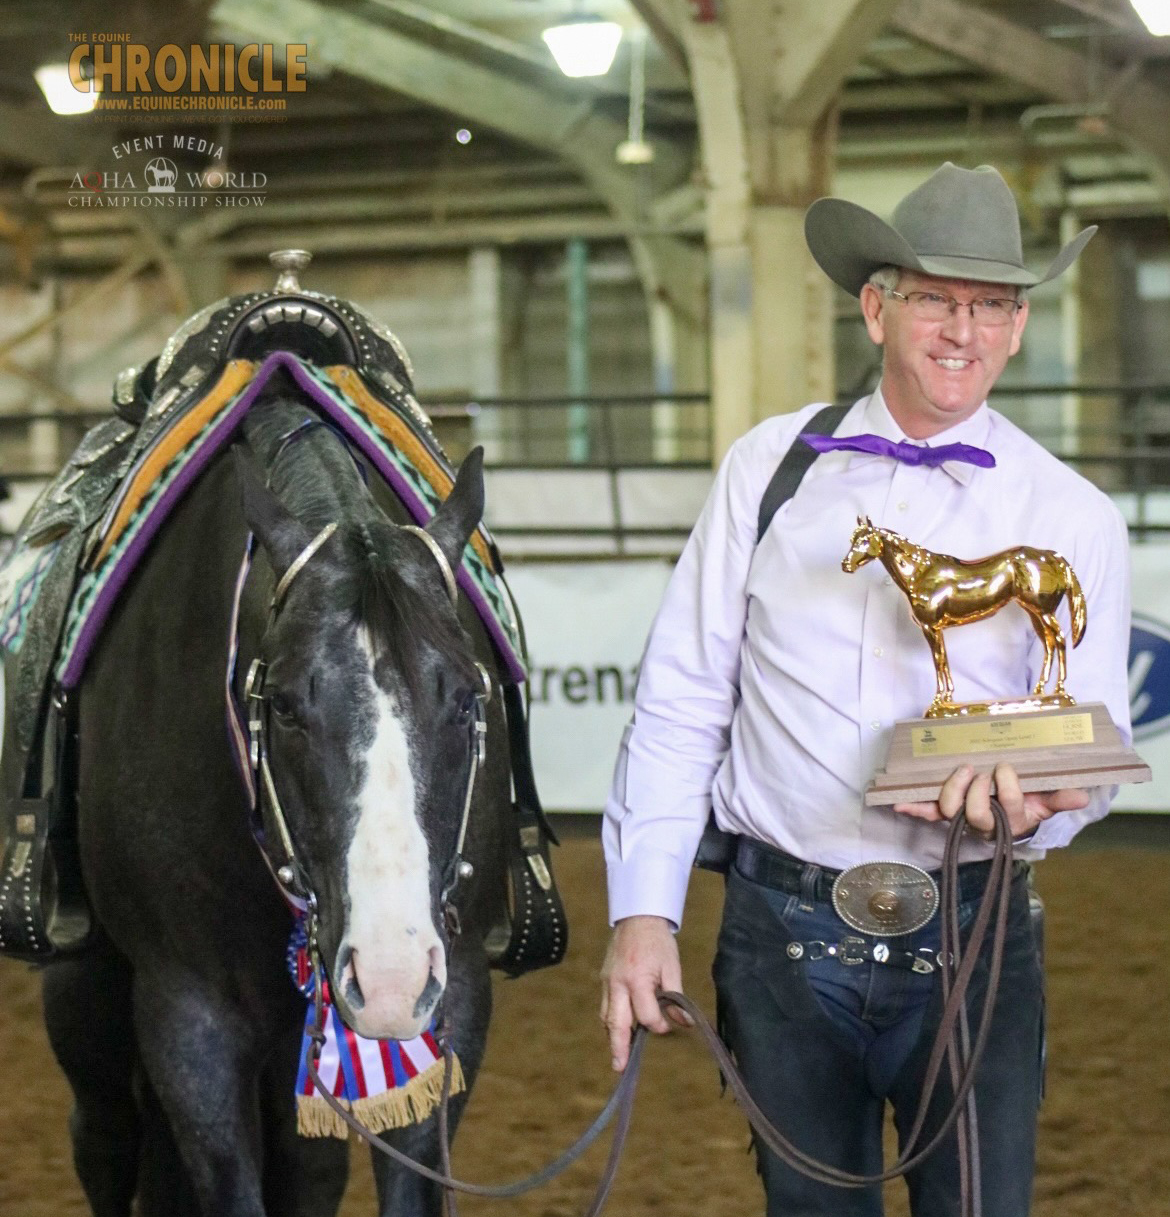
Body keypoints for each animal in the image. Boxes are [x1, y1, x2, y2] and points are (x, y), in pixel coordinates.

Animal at [42, 374, 506, 1212]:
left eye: (464, 700)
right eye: (285, 705)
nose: (388, 975)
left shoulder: (453, 999)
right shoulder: (189, 1020)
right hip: (83, 990)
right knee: (104, 1138)